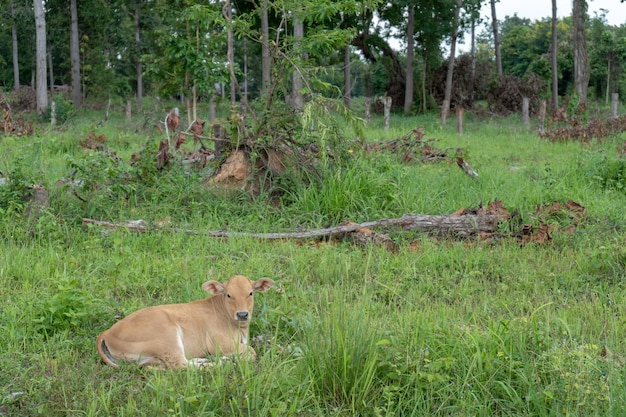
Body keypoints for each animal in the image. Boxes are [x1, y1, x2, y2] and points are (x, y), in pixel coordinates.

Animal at [97, 276, 272, 368]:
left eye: (251, 293)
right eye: (228, 294)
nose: (242, 314)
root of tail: (107, 332)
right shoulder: (218, 343)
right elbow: (251, 352)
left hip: (150, 359)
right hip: (167, 337)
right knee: (183, 365)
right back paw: (220, 362)